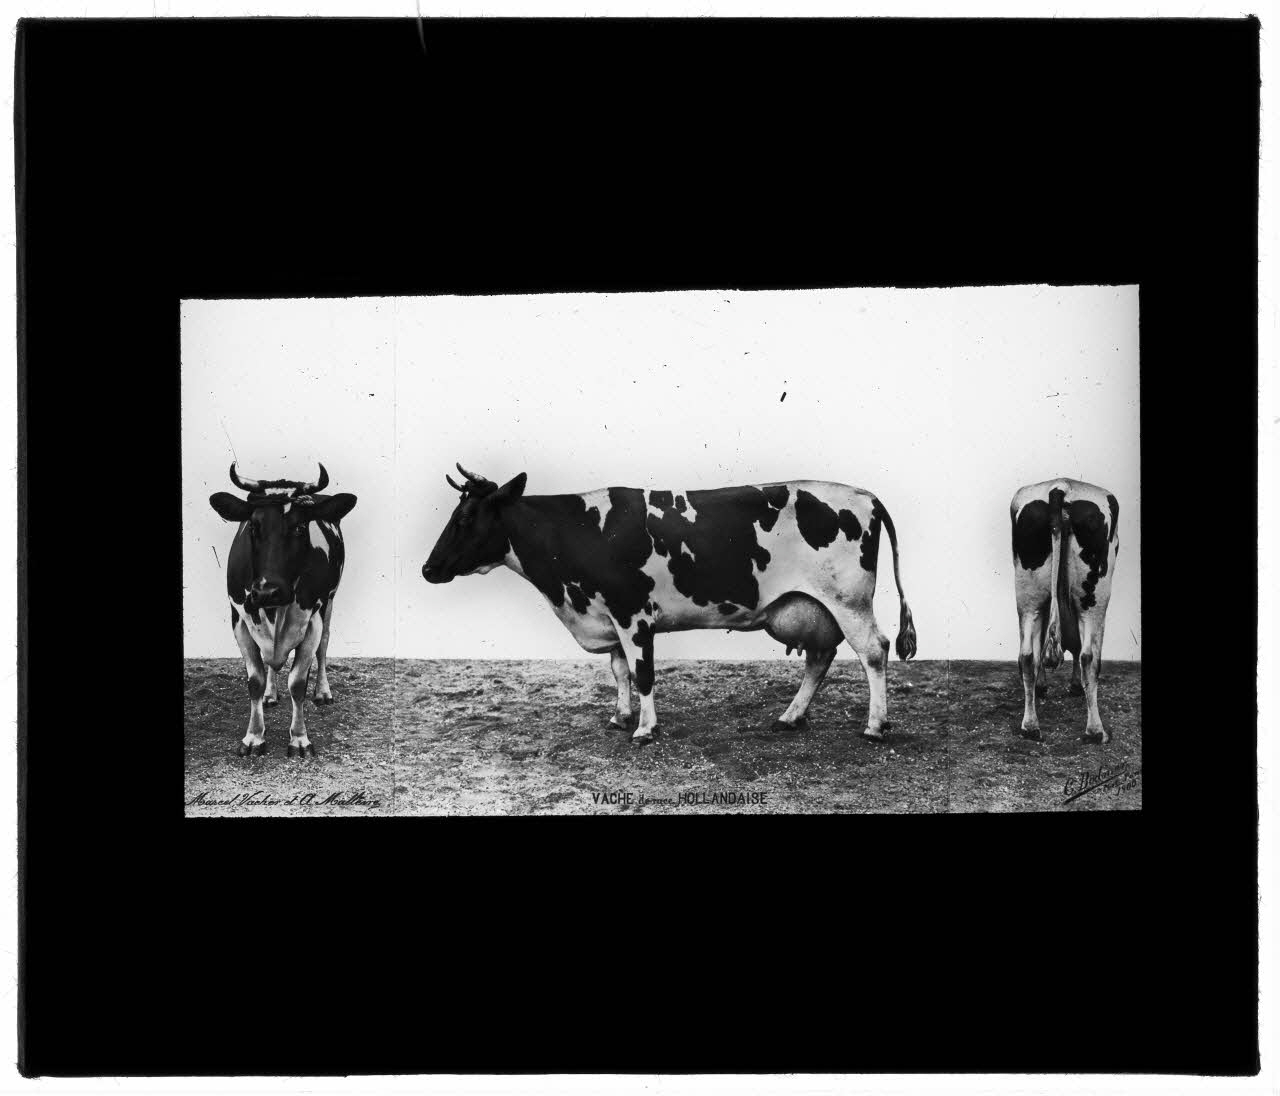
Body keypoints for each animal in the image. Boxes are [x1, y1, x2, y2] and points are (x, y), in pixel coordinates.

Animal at [208, 464, 357, 757]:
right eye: (253, 527)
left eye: (300, 527)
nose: (268, 591)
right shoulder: (239, 620)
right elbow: (254, 681)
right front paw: (254, 737)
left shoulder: (313, 621)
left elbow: (298, 683)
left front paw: (299, 739)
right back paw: (270, 694)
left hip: (330, 601)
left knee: (324, 646)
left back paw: (322, 692)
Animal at [421, 464, 917, 742]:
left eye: (466, 516)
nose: (428, 569)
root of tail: (865, 495)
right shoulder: (609, 616)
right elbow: (619, 670)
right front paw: (620, 718)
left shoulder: (633, 614)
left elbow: (643, 674)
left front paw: (644, 729)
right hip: (815, 607)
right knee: (820, 658)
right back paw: (790, 717)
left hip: (849, 600)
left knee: (874, 651)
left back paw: (875, 727)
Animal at [1010, 478, 1120, 742]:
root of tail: (1060, 486)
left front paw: (1044, 687)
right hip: (1095, 597)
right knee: (1089, 656)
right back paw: (1095, 730)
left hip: (1028, 596)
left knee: (1027, 655)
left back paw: (1030, 726)